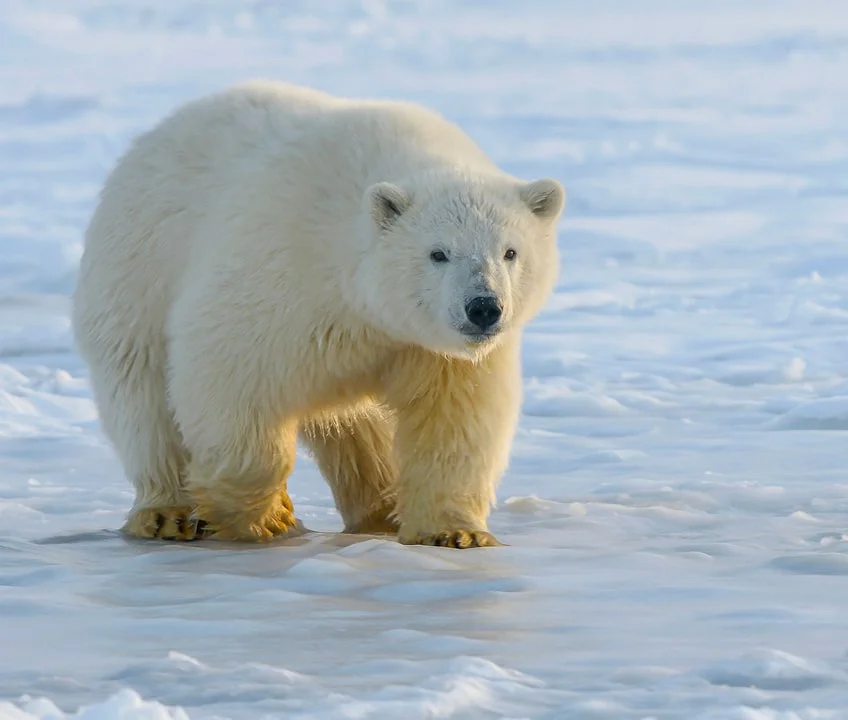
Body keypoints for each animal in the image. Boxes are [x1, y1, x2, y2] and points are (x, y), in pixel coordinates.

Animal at [71, 80, 565, 548]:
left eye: (510, 252)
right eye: (438, 253)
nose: (483, 308)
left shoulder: (430, 348)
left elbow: (454, 420)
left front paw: (454, 533)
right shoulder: (281, 270)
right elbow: (228, 373)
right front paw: (267, 515)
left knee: (358, 429)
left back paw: (380, 509)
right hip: (136, 273)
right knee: (144, 398)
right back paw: (166, 513)